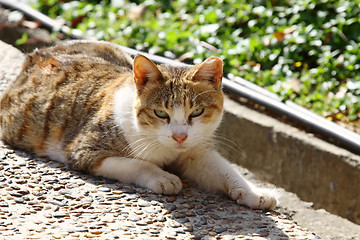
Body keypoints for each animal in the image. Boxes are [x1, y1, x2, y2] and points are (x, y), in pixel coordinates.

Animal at [0, 40, 278, 209]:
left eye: (197, 112)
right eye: (161, 113)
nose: (179, 136)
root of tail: (39, 52)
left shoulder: (196, 151)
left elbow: (223, 168)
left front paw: (253, 191)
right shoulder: (85, 151)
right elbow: (137, 163)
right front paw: (162, 176)